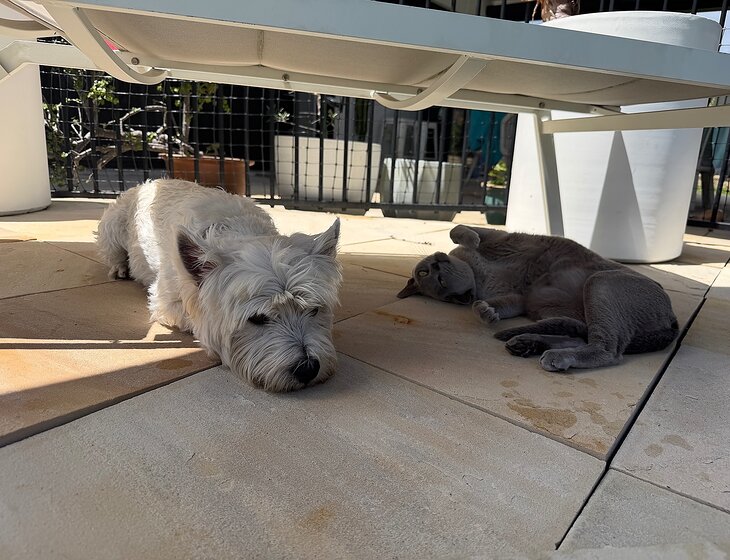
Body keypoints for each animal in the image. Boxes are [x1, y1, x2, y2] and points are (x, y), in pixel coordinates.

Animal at [96, 179, 342, 392]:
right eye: (257, 318)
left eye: (314, 310)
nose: (308, 369)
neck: (233, 226)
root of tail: (149, 182)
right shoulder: (164, 300)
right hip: (112, 226)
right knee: (113, 250)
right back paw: (120, 268)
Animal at [397, 225, 679, 372]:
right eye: (438, 281)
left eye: (425, 272)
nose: (435, 263)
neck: (478, 272)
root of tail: (672, 318)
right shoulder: (519, 298)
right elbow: (483, 305)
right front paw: (487, 313)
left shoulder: (501, 238)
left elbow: (459, 231)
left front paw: (470, 238)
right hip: (567, 303)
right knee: (599, 345)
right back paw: (531, 346)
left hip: (598, 284)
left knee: (601, 344)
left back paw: (534, 347)